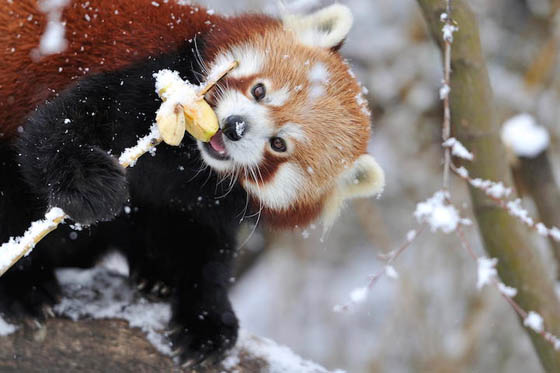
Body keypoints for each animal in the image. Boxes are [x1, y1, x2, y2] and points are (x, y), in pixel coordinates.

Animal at [0, 0, 384, 366]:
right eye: (260, 90)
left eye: (279, 144)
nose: (234, 127)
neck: (188, 161)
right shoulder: (148, 81)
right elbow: (57, 128)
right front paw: (90, 184)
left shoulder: (206, 201)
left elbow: (203, 247)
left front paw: (207, 323)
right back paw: (23, 286)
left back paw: (154, 275)